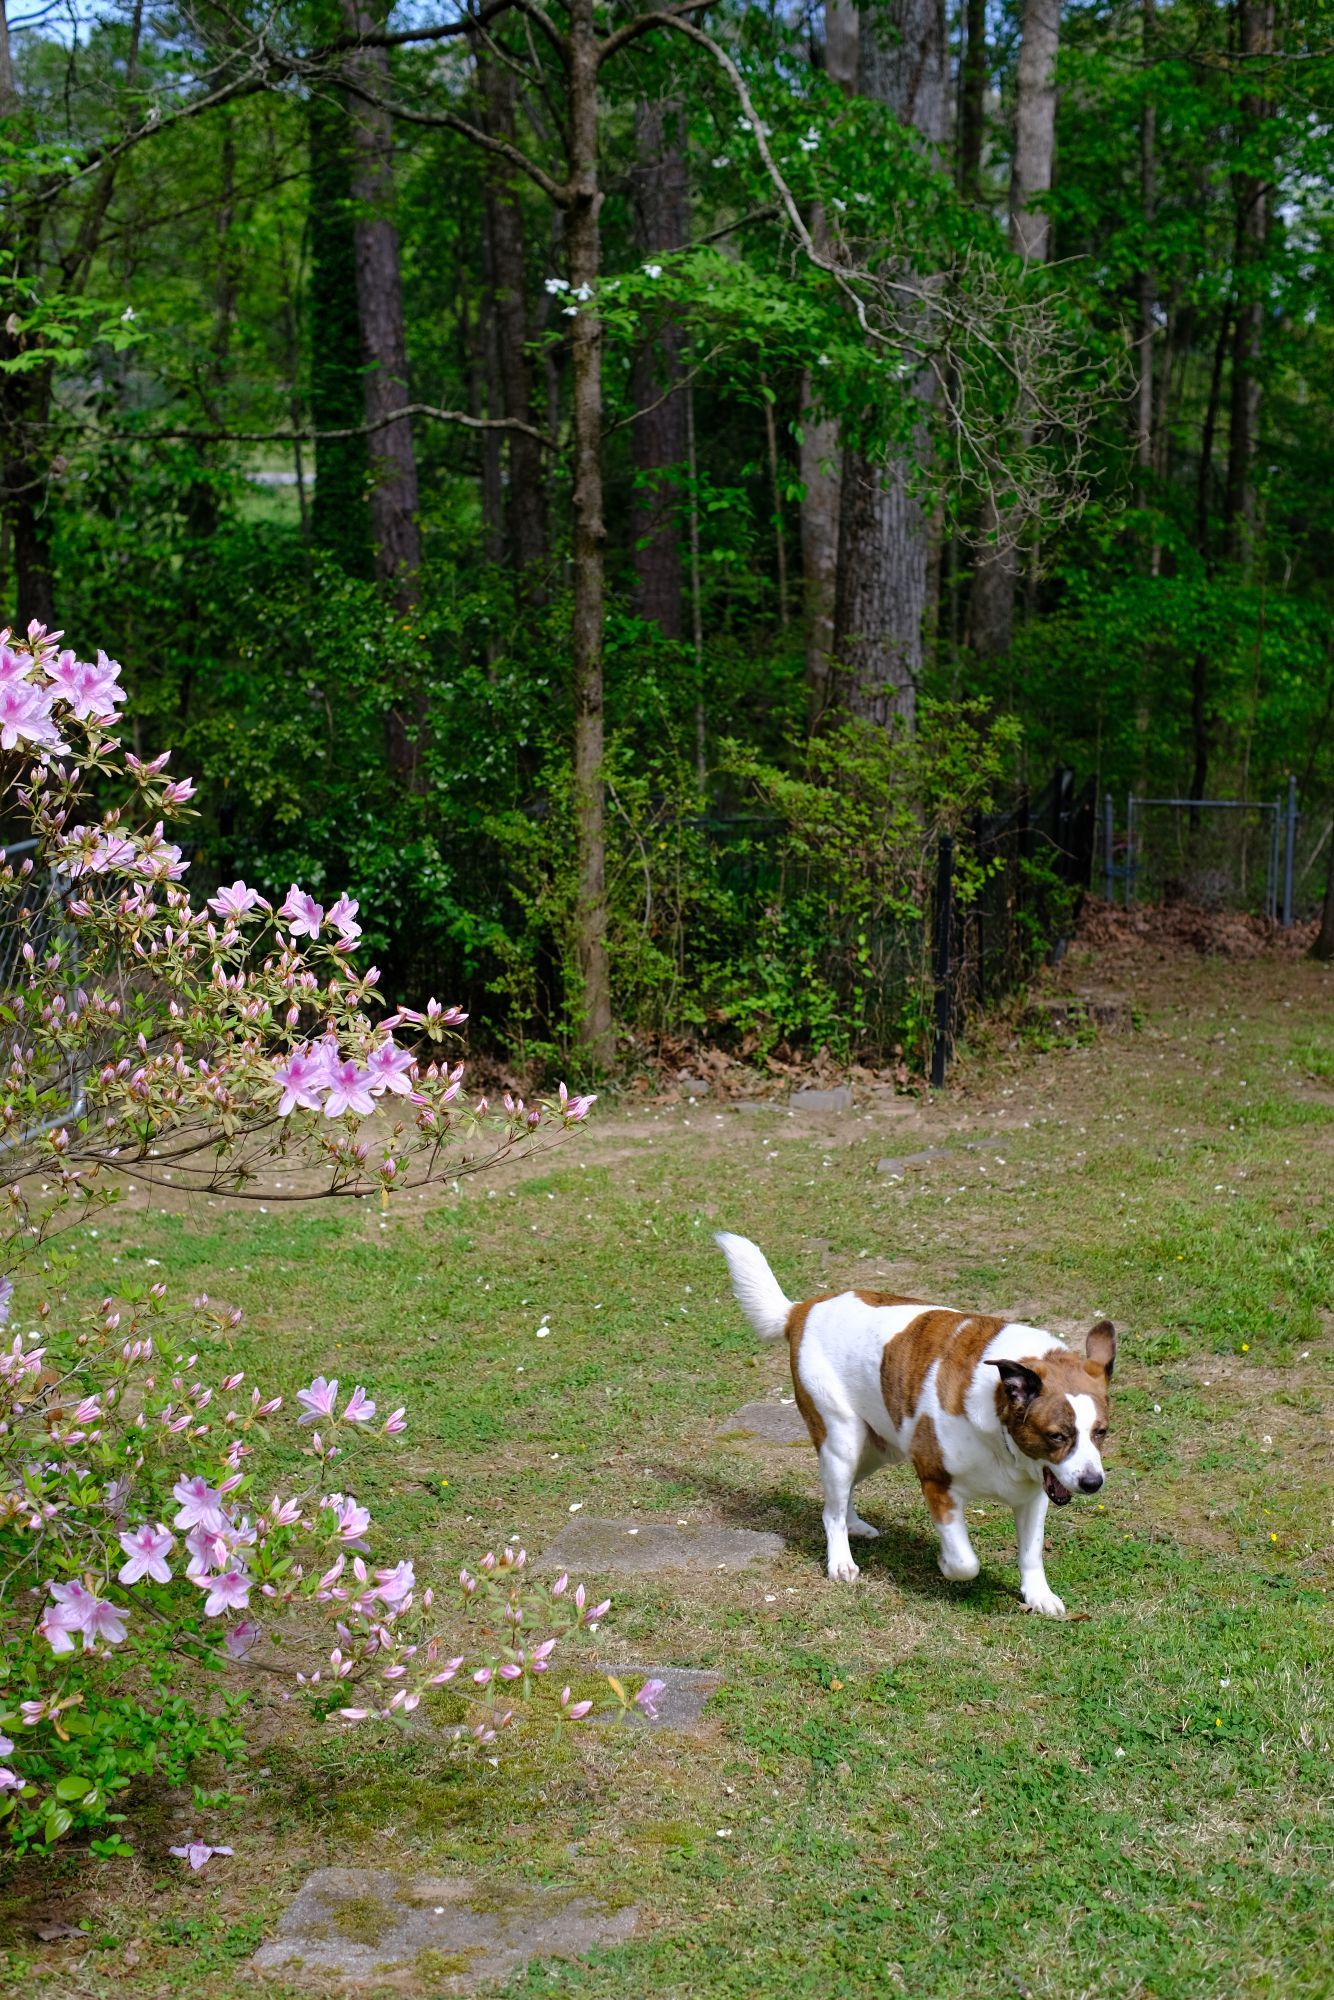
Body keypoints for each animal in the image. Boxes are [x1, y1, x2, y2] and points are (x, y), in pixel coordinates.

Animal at [720, 1224, 1120, 1616]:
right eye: (1056, 1436)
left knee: (841, 1494)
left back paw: (853, 1524)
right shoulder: (937, 1483)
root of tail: (802, 1309)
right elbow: (965, 1563)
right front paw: (945, 1563)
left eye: (1101, 1432)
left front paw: (1038, 1594)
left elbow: (1031, 1552)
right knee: (830, 1510)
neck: (997, 1420)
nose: (1092, 1483)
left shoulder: (1035, 1493)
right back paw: (841, 1560)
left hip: (876, 1448)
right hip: (842, 1441)